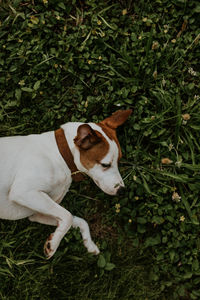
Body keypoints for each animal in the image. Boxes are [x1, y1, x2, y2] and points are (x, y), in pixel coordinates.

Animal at [0, 109, 131, 258]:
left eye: (119, 161)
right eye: (105, 164)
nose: (122, 190)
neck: (59, 156)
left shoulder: (36, 214)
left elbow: (77, 220)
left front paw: (89, 243)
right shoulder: (24, 192)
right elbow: (68, 216)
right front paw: (54, 244)